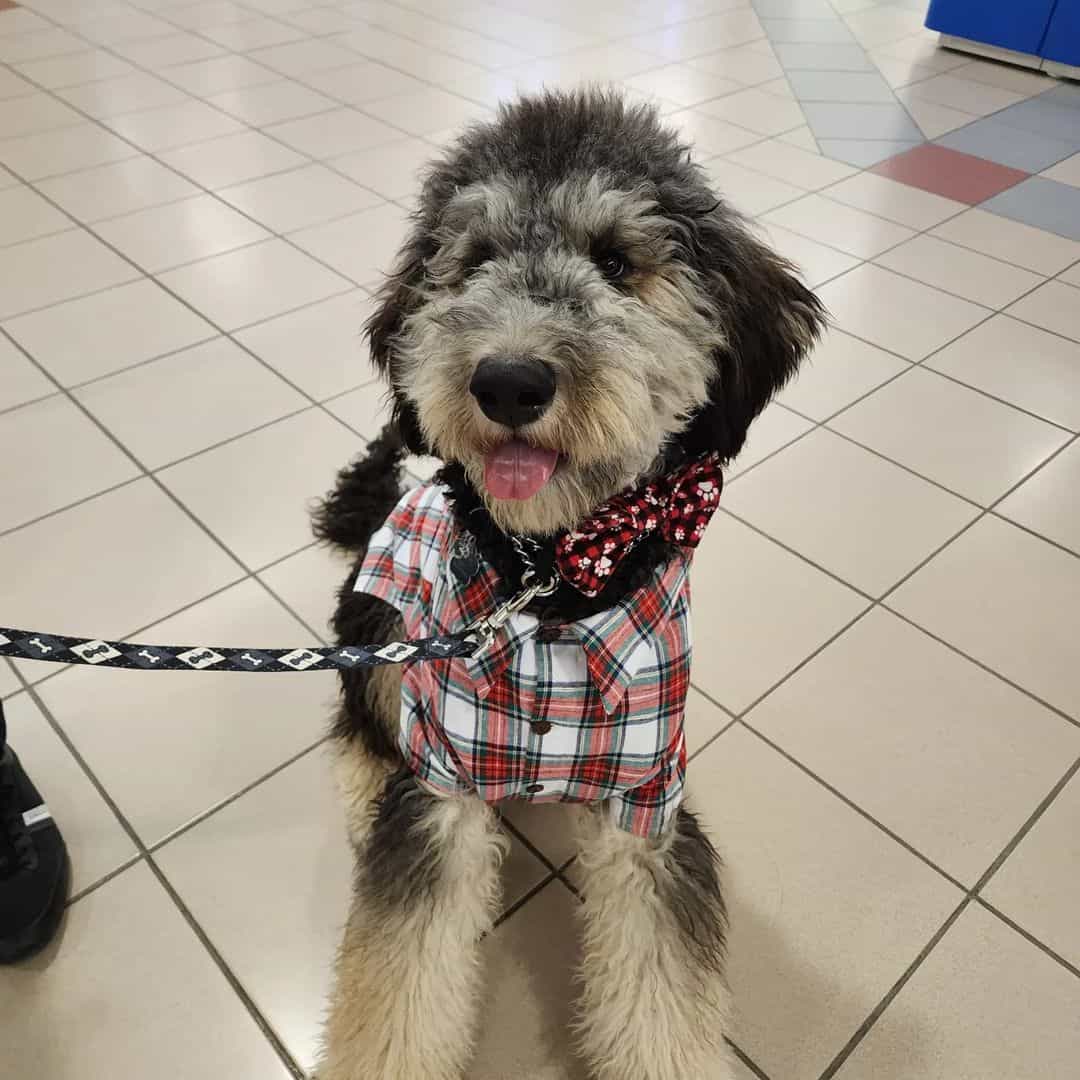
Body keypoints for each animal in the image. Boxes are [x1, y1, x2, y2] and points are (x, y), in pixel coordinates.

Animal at [313, 90, 825, 1080]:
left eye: (618, 260)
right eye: (474, 259)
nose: (509, 380)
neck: (550, 584)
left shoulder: (646, 801)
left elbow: (662, 993)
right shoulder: (441, 788)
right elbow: (400, 984)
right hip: (382, 621)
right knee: (359, 714)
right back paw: (360, 786)